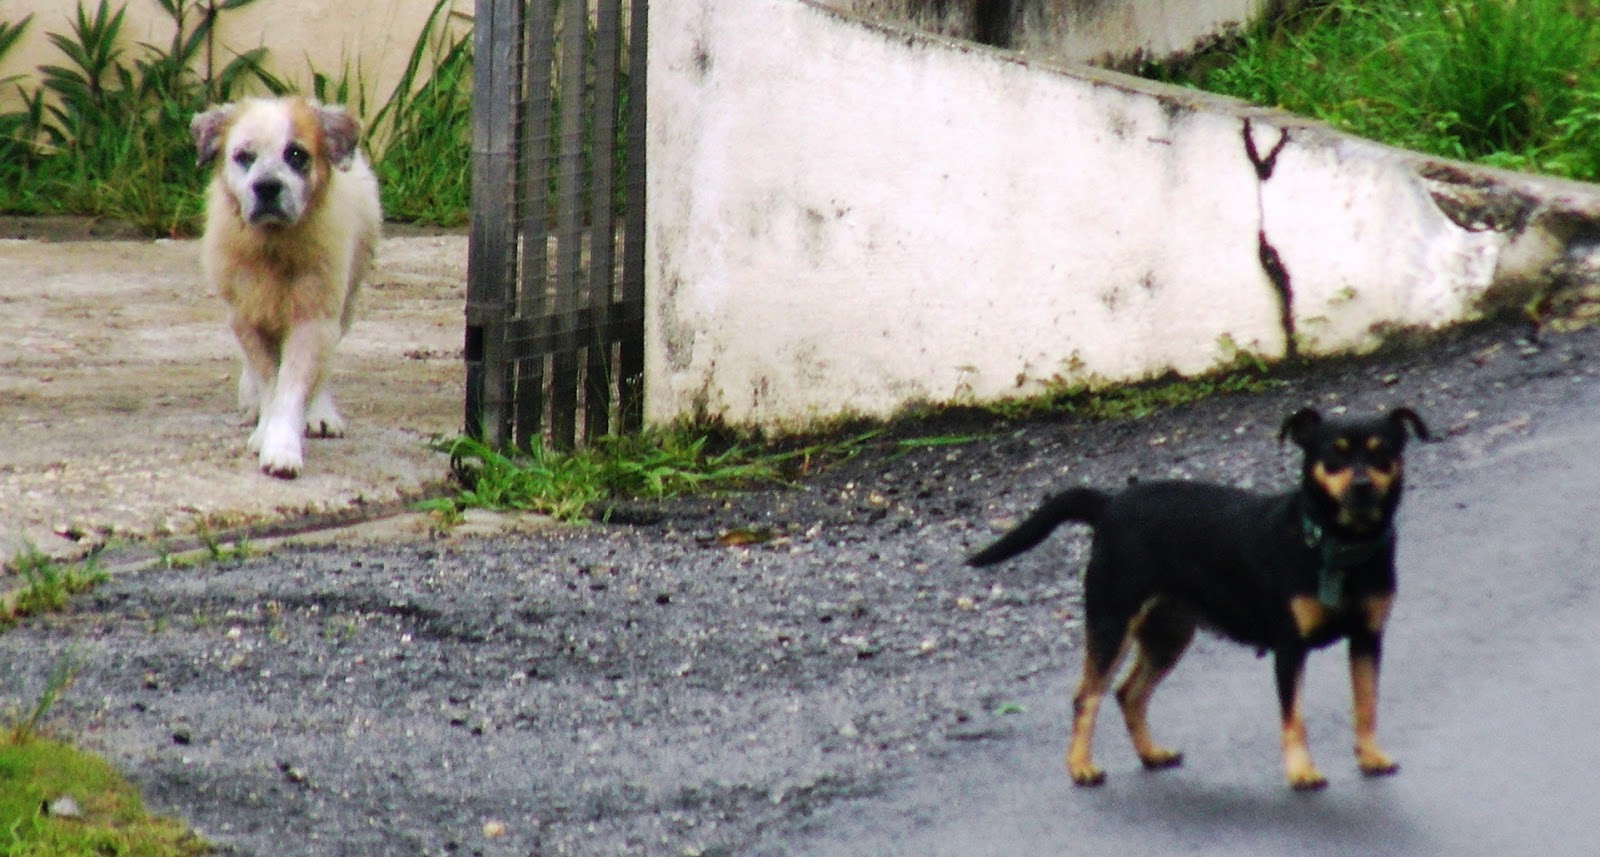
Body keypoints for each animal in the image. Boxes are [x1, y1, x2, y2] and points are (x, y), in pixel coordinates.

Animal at [190, 96, 382, 478]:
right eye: (243, 156)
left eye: (296, 154)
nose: (267, 187)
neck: (274, 249)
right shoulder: (247, 318)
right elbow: (270, 382)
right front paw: (264, 430)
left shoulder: (313, 318)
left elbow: (292, 386)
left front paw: (282, 448)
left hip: (344, 304)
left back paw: (320, 413)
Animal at [968, 406, 1431, 790]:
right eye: (1333, 456)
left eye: (1382, 454)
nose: (1362, 486)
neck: (1337, 544)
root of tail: (1109, 504)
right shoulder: (1290, 648)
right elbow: (1294, 717)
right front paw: (1302, 772)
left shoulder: (1368, 639)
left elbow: (1366, 703)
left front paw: (1370, 757)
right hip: (1112, 623)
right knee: (1088, 696)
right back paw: (1081, 767)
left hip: (1168, 634)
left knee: (1129, 692)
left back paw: (1152, 754)